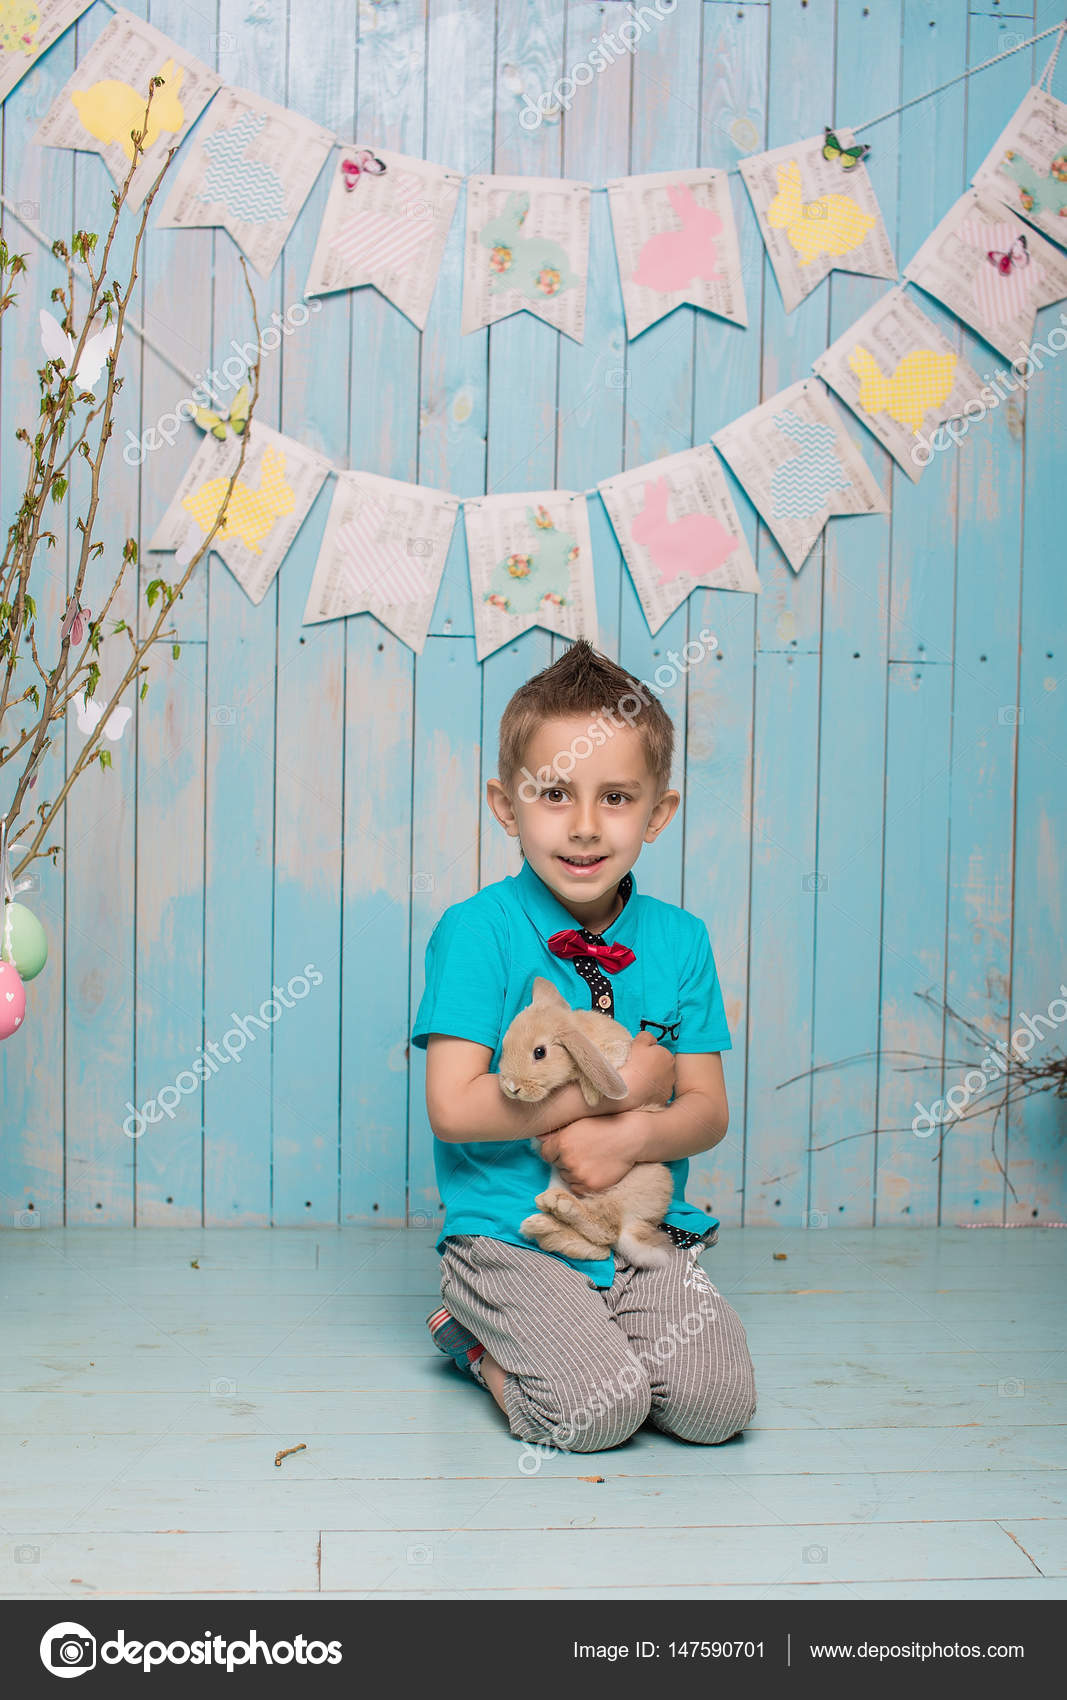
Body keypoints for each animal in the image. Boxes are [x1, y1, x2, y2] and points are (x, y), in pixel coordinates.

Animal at [499, 979, 676, 1271]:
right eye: (504, 1045)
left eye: (540, 1052)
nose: (512, 1088)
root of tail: (633, 1226)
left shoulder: (615, 1053)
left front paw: (592, 1094)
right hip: (560, 1181)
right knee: (601, 1249)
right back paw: (542, 1224)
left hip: (622, 1190)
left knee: (606, 1231)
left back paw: (559, 1209)